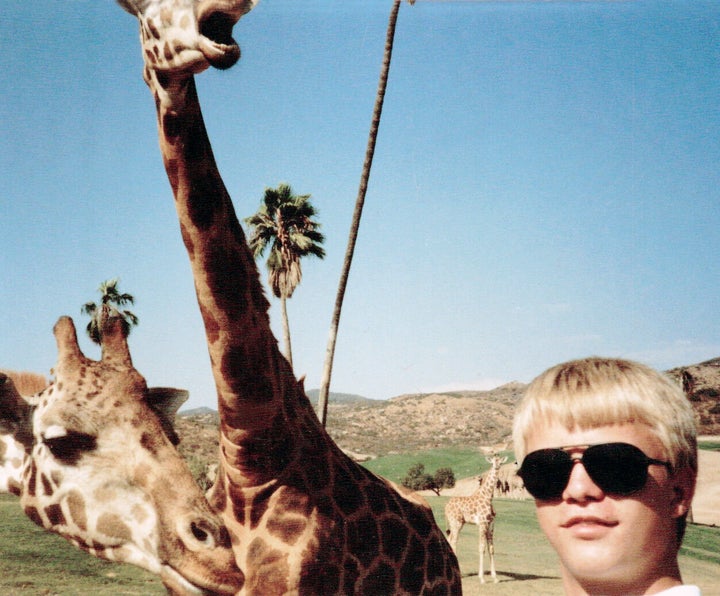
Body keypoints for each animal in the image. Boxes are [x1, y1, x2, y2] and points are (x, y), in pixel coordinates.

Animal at [444, 452, 506, 584]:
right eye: (493, 461)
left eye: (500, 461)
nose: (497, 467)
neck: (488, 496)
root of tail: (446, 506)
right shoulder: (482, 523)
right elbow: (481, 548)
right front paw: (482, 578)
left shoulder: (491, 525)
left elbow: (491, 549)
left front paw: (495, 577)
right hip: (456, 522)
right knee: (454, 541)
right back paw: (457, 573)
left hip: (457, 523)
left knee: (449, 539)